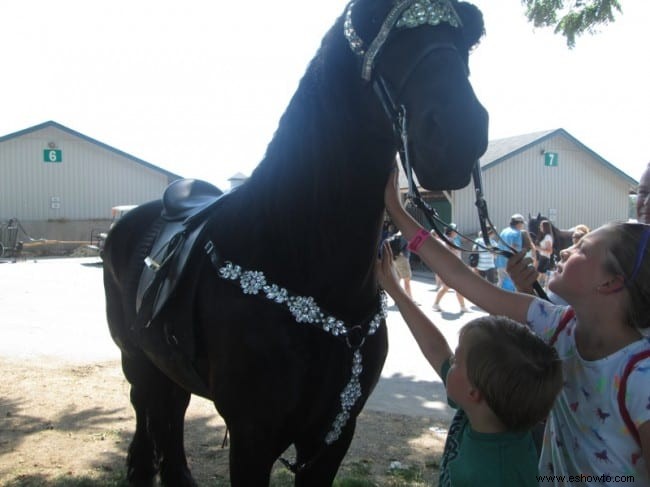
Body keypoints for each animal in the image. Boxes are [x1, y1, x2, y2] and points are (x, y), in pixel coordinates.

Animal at [102, 1, 486, 486]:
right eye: (380, 36)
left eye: (464, 44)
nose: (460, 133)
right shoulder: (252, 437)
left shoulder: (332, 435)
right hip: (134, 355)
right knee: (145, 405)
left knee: (170, 411)